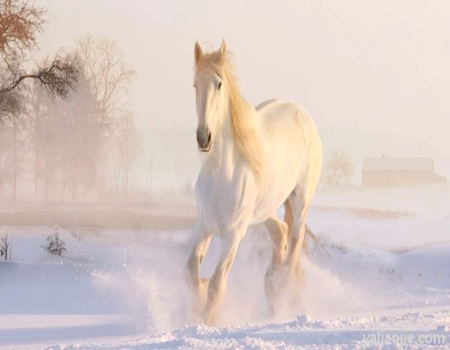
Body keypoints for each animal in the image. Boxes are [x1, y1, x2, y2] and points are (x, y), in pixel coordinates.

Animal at [186, 39, 324, 324]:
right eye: (195, 85)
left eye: (219, 84)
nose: (204, 137)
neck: (222, 174)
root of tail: (302, 112)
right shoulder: (203, 225)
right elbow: (191, 272)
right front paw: (198, 302)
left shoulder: (234, 234)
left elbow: (217, 284)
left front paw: (207, 321)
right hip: (264, 210)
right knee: (280, 233)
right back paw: (272, 286)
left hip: (300, 200)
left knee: (295, 240)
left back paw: (283, 293)